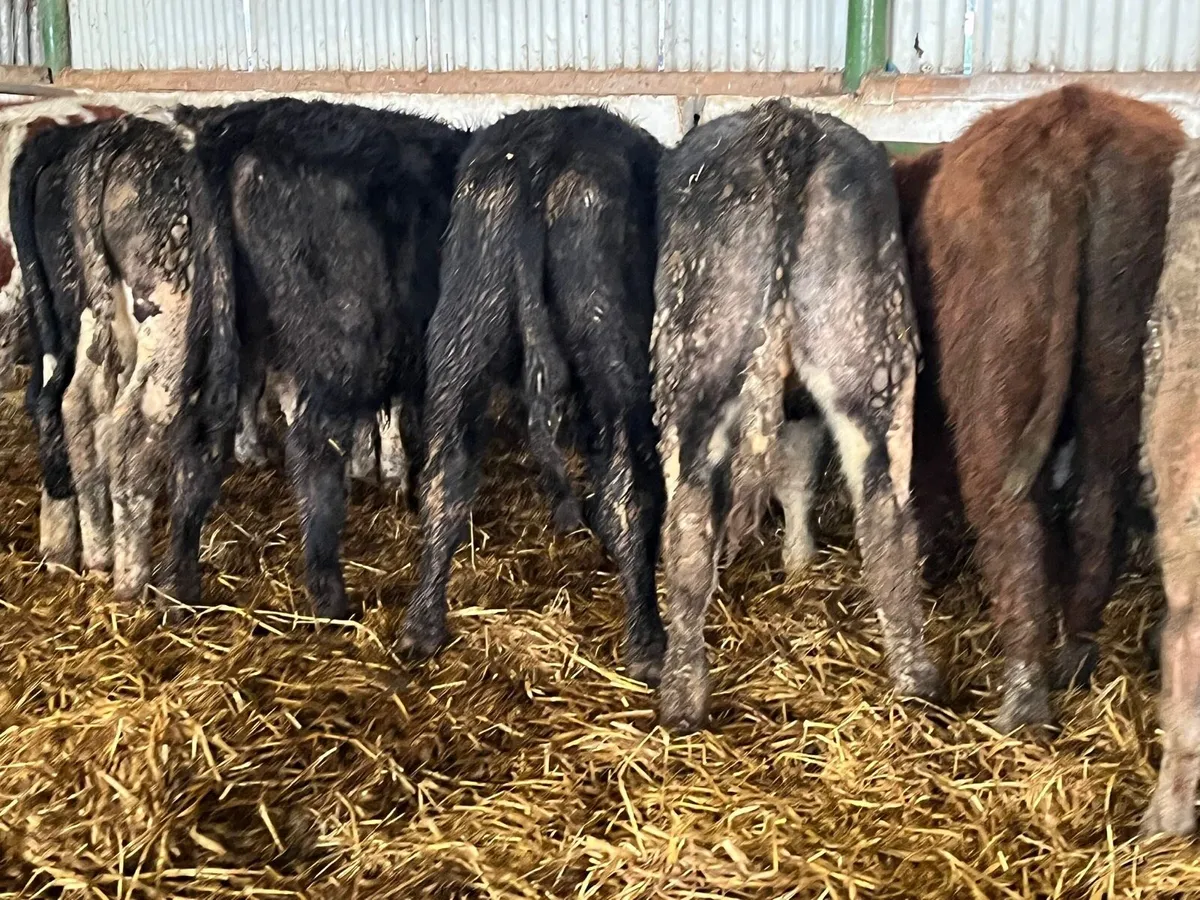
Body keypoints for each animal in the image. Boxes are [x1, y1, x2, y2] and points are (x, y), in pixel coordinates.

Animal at [182, 99, 469, 617]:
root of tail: (242, 125)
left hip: (224, 326)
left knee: (200, 434)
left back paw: (178, 587)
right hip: (344, 346)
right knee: (314, 451)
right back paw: (330, 595)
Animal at [398, 106, 667, 686]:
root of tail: (544, 150)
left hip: (463, 327)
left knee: (443, 479)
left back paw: (422, 625)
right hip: (610, 339)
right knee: (625, 492)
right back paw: (647, 643)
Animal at [649, 99, 942, 732]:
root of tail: (786, 126)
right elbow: (798, 474)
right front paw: (800, 563)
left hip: (688, 357)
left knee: (687, 525)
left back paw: (681, 697)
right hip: (871, 353)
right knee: (887, 523)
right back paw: (916, 681)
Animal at [895, 85, 1183, 732]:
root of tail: (1073, 116)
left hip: (992, 380)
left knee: (1012, 518)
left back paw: (1024, 701)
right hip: (1113, 366)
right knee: (1095, 506)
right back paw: (1072, 659)